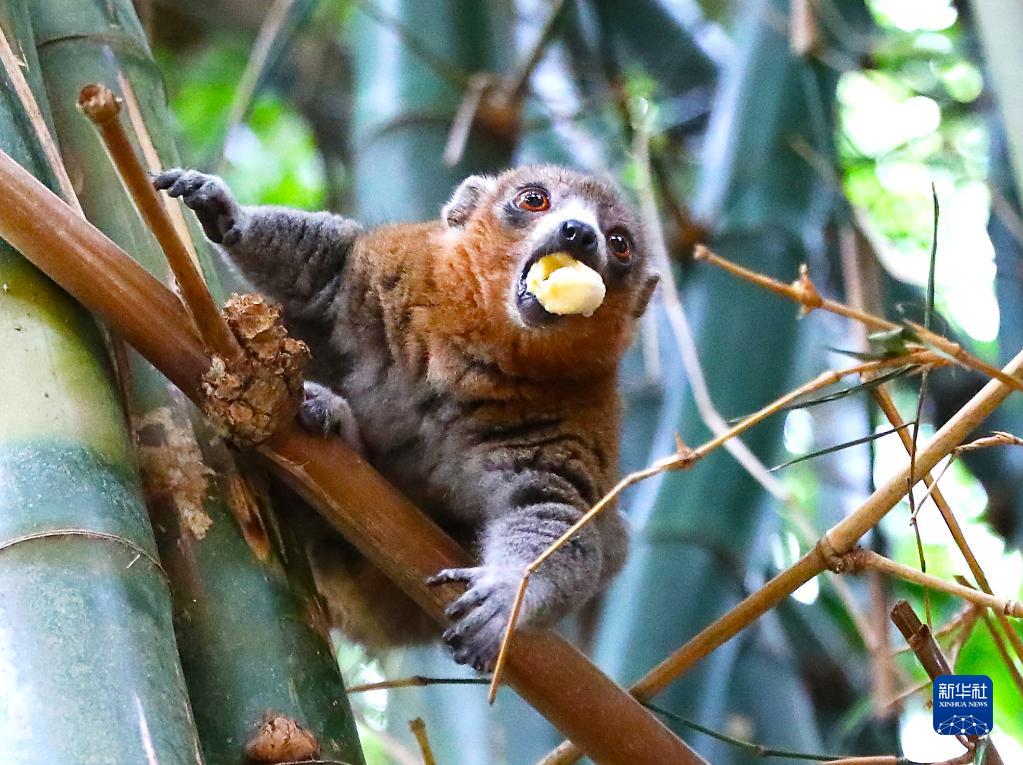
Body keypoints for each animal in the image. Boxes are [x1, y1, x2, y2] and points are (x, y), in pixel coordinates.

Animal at [155, 165, 658, 671]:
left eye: (619, 244)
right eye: (534, 200)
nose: (579, 233)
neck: (480, 352)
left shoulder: (572, 422)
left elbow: (556, 512)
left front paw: (507, 598)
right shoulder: (398, 269)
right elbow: (331, 262)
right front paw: (226, 212)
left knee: (615, 541)